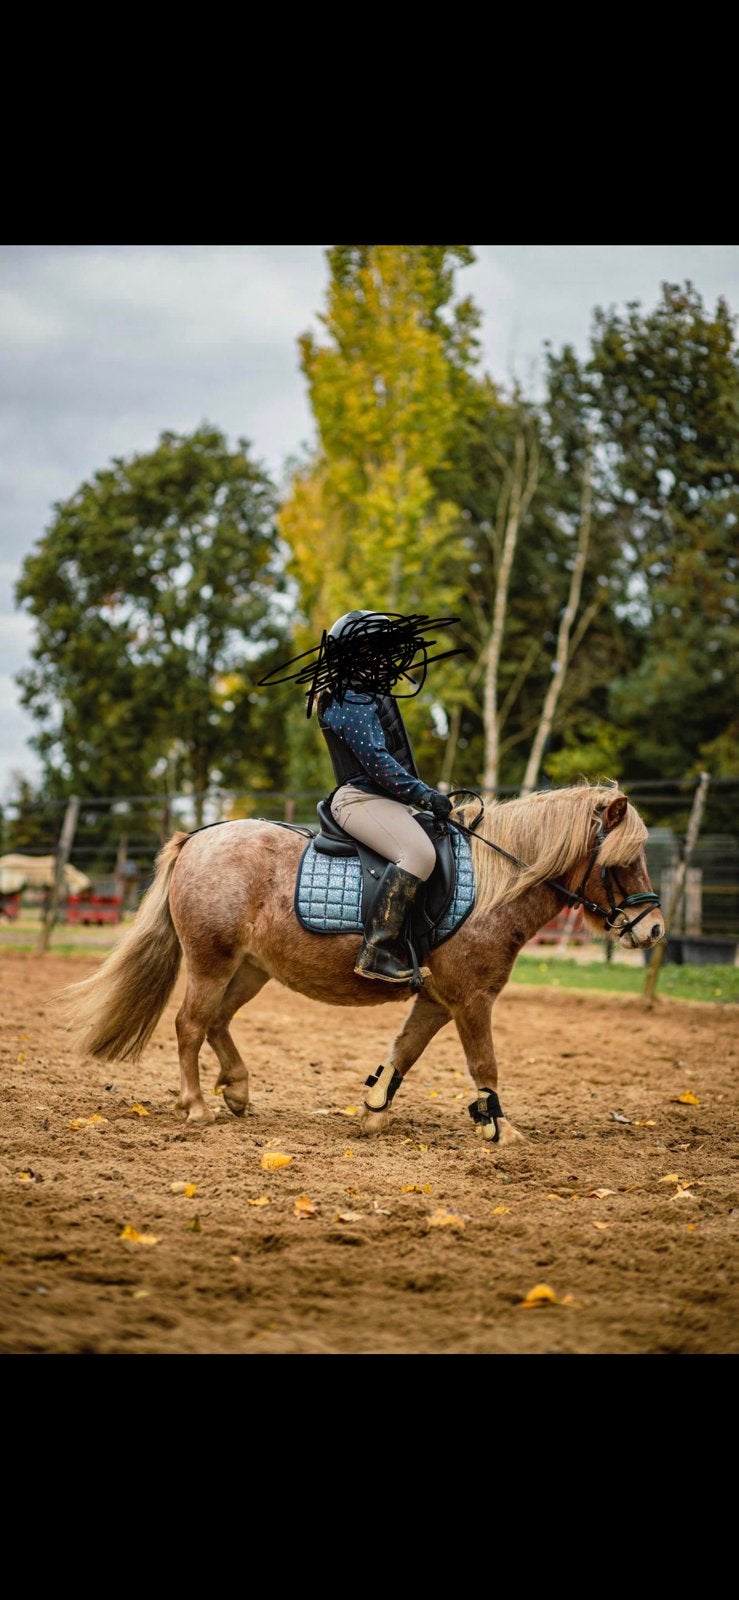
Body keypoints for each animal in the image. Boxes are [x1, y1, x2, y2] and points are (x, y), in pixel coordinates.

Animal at [63, 783, 664, 1146]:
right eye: (623, 861)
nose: (655, 929)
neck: (494, 885)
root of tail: (199, 837)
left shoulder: (437, 999)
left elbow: (405, 1051)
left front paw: (375, 1108)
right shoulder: (471, 999)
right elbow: (485, 1065)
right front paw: (499, 1128)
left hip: (251, 969)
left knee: (215, 1022)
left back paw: (236, 1089)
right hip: (211, 961)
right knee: (190, 1024)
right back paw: (196, 1106)